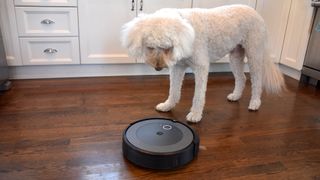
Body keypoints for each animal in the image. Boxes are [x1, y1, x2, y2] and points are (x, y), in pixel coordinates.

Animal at [120, 4, 284, 122]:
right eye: (150, 47)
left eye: (167, 48)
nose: (158, 68)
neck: (186, 32)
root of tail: (255, 12)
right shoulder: (177, 68)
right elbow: (173, 91)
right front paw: (167, 106)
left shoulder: (201, 67)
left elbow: (198, 95)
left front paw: (195, 115)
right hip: (235, 56)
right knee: (242, 78)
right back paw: (235, 96)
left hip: (254, 54)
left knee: (256, 81)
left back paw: (255, 103)